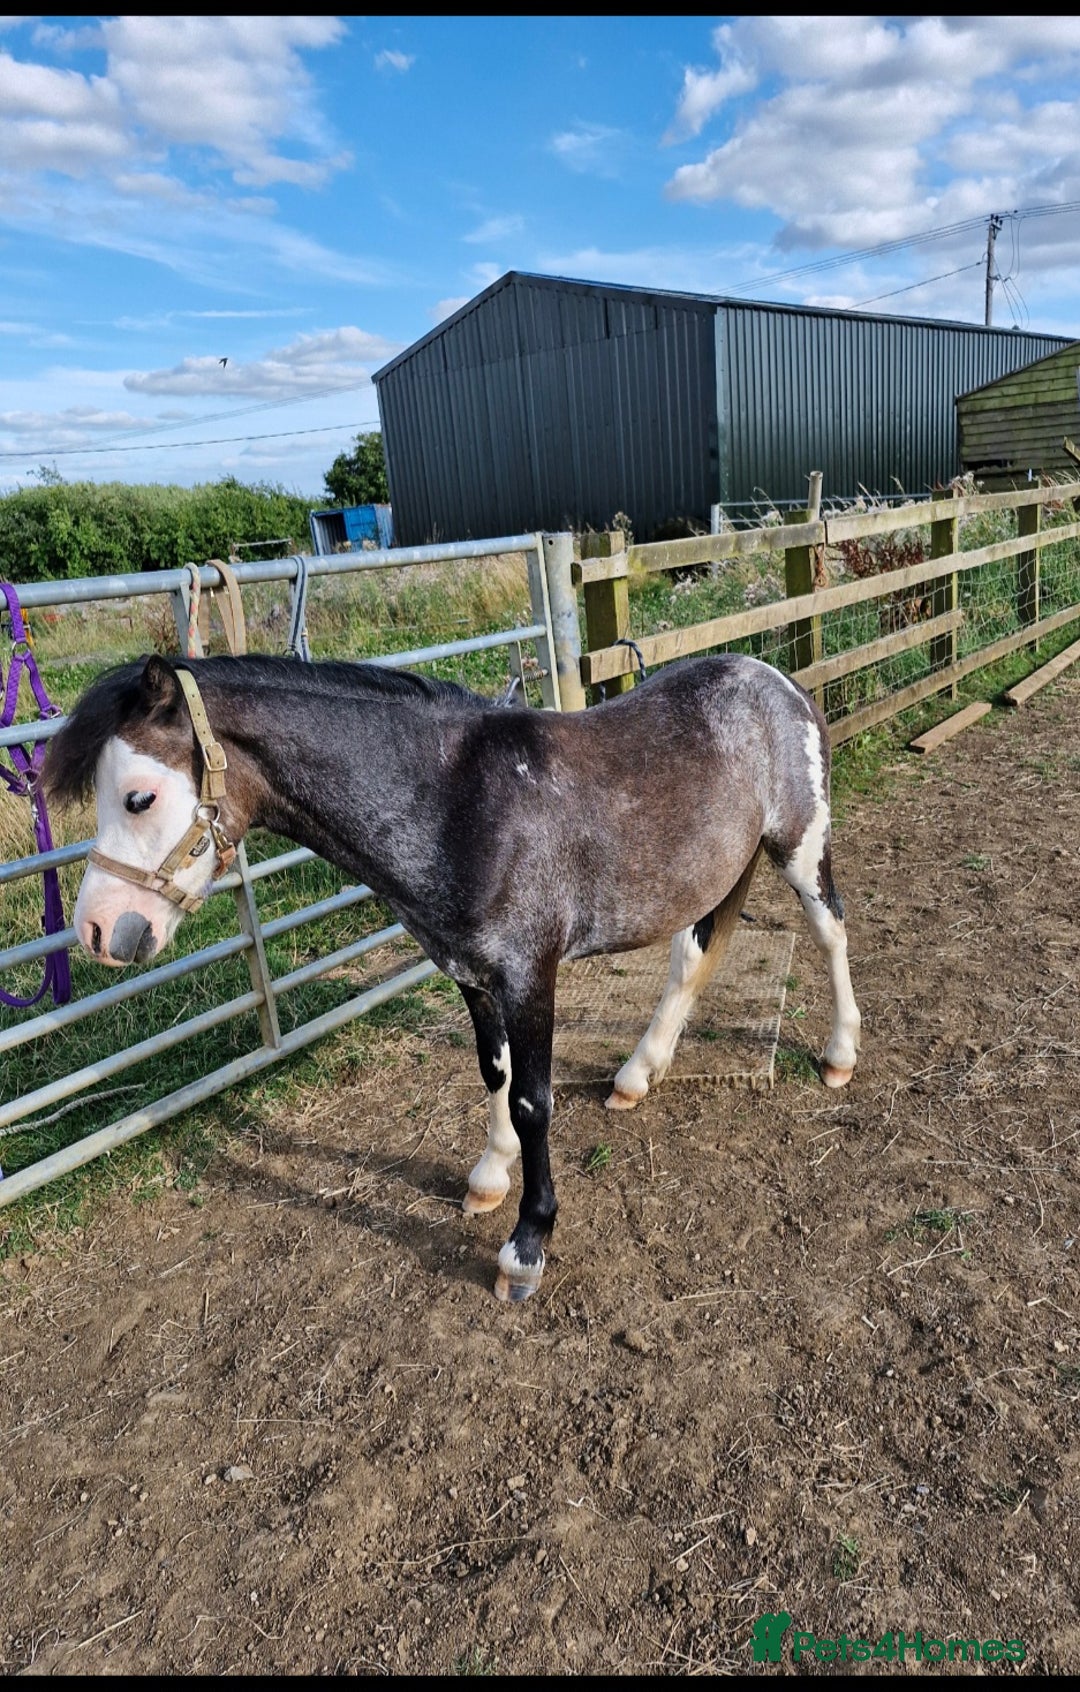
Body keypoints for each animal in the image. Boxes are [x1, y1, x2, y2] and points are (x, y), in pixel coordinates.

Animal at [43, 651, 861, 1302]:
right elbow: (493, 1073)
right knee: (692, 958)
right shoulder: (470, 972)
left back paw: (840, 1056)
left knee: (831, 932)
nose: (98, 931)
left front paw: (526, 1247)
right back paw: (637, 1075)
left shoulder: (530, 975)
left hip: (798, 846)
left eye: (139, 796)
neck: (457, 806)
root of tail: (774, 679)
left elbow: (533, 1102)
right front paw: (489, 1176)